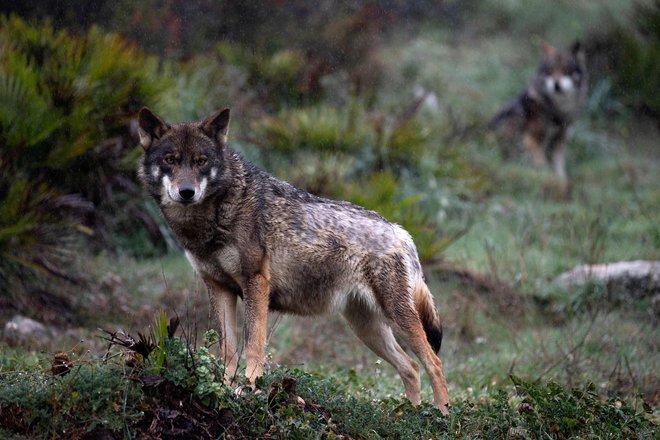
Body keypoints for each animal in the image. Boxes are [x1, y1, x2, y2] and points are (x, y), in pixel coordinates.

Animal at [137, 108, 452, 414]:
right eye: (170, 160)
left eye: (201, 161)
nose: (186, 192)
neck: (215, 215)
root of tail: (400, 231)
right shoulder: (218, 287)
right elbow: (227, 351)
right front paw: (223, 389)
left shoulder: (256, 283)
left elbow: (253, 345)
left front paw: (250, 390)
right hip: (366, 329)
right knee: (411, 368)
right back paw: (411, 414)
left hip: (397, 319)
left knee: (434, 363)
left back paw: (441, 416)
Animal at [490, 41, 588, 196]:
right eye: (550, 71)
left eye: (565, 70)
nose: (556, 85)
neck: (558, 111)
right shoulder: (533, 140)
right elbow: (542, 165)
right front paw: (547, 181)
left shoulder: (558, 144)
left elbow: (560, 172)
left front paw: (562, 186)